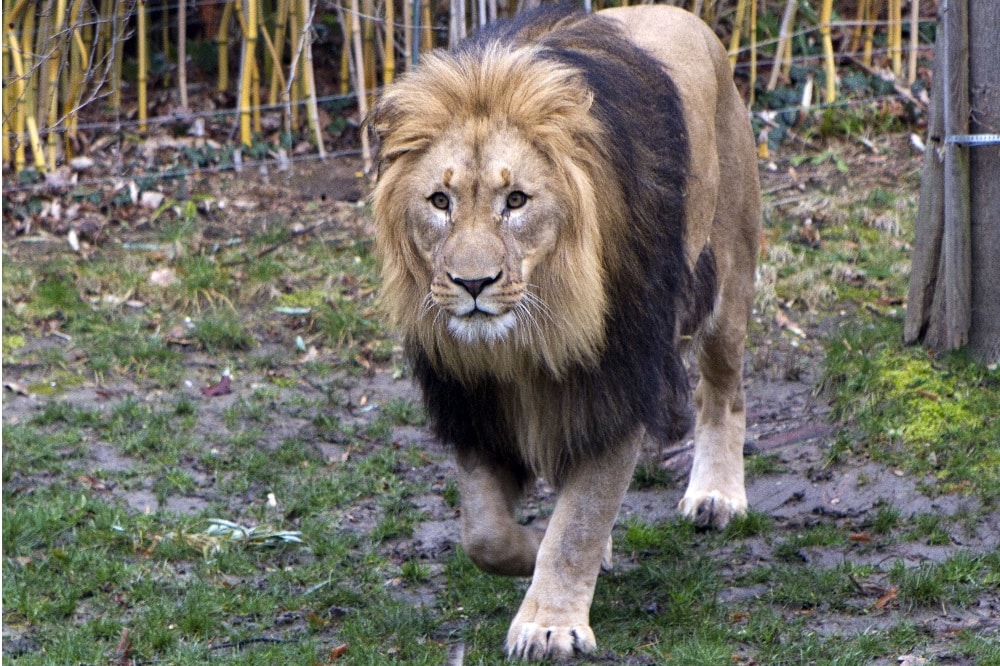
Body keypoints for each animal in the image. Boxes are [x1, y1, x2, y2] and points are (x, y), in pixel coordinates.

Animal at [370, 4, 760, 660]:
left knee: (725, 392)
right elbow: (486, 534)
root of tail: (688, 19)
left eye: (517, 200)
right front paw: (546, 556)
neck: (526, 338)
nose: (472, 283)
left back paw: (717, 496)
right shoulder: (474, 402)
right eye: (440, 201)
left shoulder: (617, 384)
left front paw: (549, 624)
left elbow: (577, 523)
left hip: (727, 280)